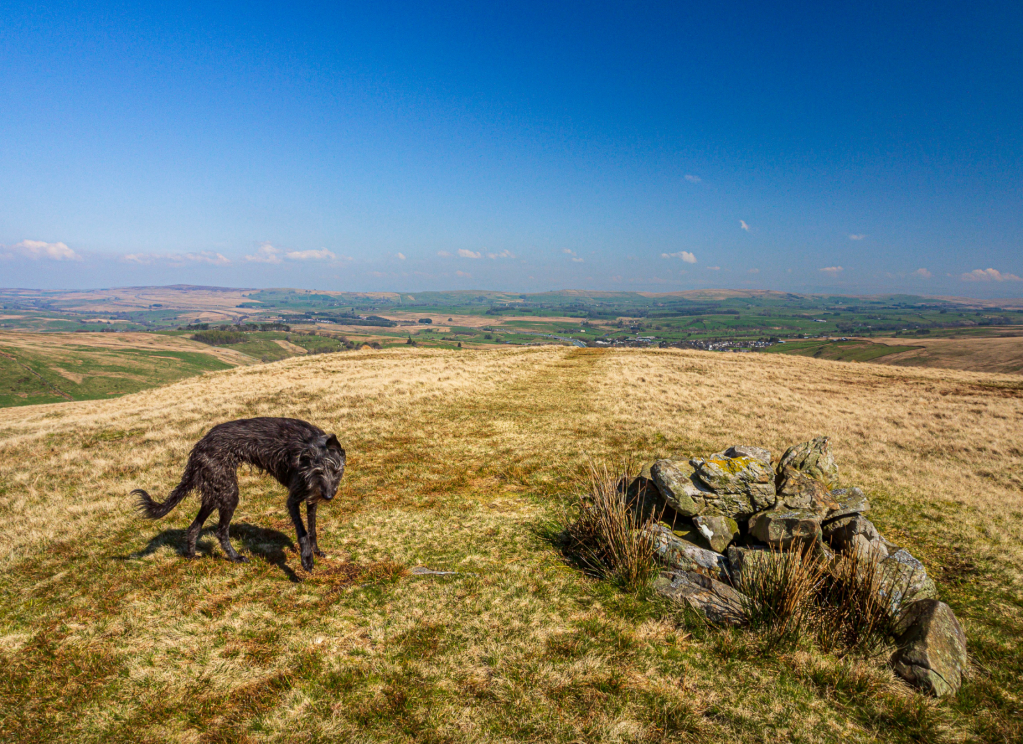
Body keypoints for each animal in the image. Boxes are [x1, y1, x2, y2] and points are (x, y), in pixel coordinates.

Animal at [132, 419, 343, 569]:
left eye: (335, 471)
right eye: (316, 472)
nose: (328, 496)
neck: (310, 446)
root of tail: (199, 446)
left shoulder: (311, 499)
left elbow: (312, 528)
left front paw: (316, 551)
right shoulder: (294, 498)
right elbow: (302, 532)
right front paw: (306, 559)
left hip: (215, 492)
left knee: (193, 527)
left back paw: (191, 556)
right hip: (229, 492)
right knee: (220, 531)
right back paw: (235, 557)